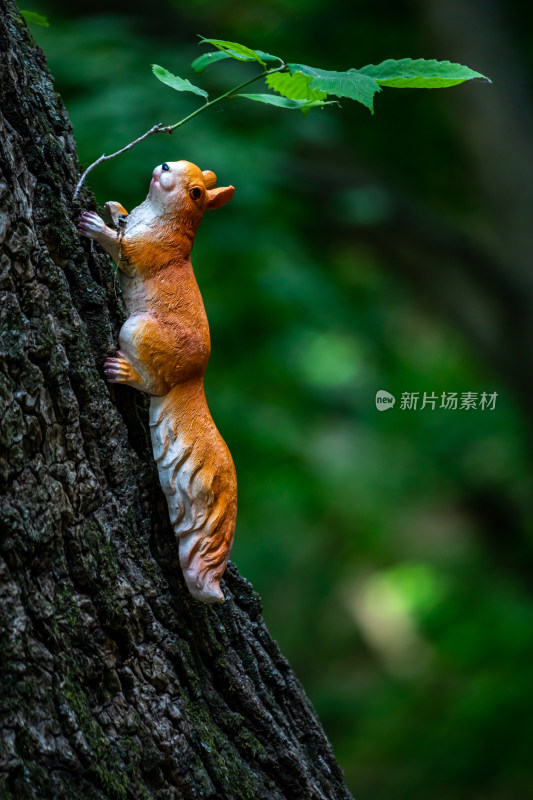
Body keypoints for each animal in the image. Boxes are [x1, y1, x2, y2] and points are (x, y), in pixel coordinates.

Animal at [78, 161, 236, 600]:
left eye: (196, 193)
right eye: (178, 162)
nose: (164, 166)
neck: (156, 216)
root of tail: (191, 379)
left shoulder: (148, 252)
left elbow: (124, 249)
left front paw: (96, 225)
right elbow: (123, 217)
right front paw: (114, 207)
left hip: (139, 331)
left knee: (153, 386)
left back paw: (124, 372)